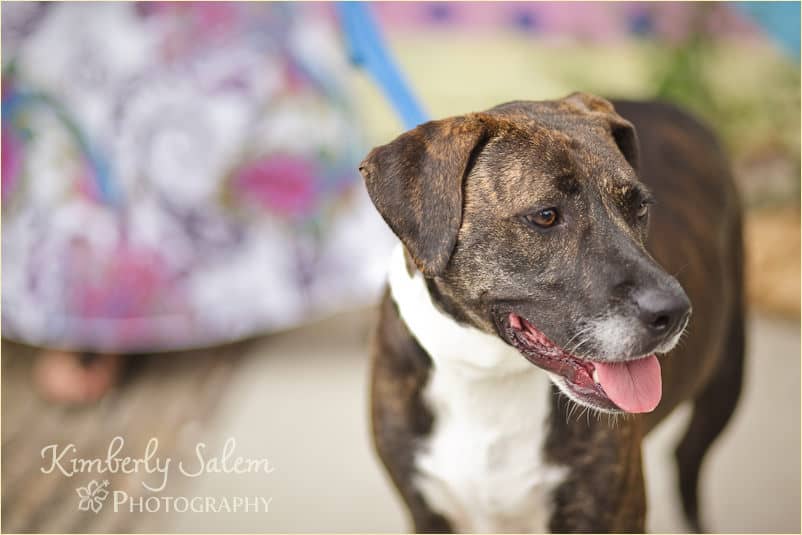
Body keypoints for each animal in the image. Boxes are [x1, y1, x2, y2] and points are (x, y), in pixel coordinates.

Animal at [360, 92, 748, 532]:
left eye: (640, 207)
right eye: (546, 216)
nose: (675, 312)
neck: (489, 374)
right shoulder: (427, 513)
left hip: (728, 374)